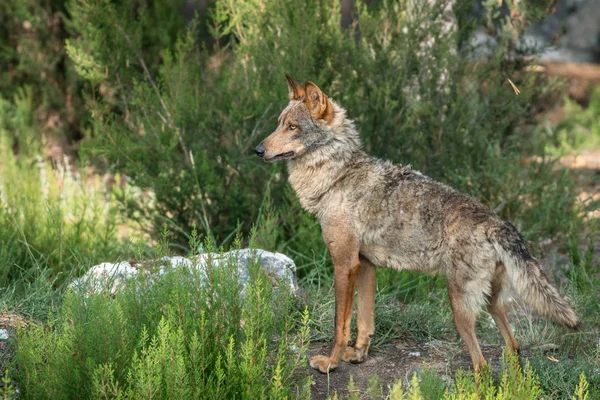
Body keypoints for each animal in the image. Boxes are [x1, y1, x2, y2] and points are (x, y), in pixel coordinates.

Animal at [252, 76, 576, 376]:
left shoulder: (344, 265)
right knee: (514, 346)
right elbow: (364, 320)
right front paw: (357, 356)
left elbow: (339, 325)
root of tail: (497, 223)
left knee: (482, 364)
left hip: (460, 309)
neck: (337, 176)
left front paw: (331, 363)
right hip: (492, 305)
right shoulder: (365, 265)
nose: (257, 150)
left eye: (293, 127)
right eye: (279, 124)